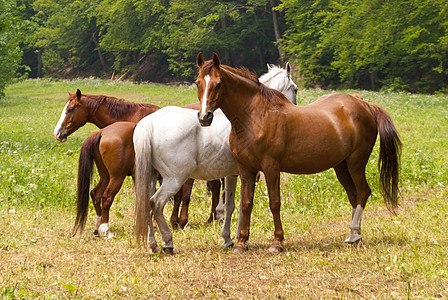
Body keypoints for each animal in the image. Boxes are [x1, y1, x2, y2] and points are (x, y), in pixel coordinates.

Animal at [133, 63, 298, 253]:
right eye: (295, 88)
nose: (292, 110)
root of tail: (149, 124)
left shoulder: (232, 174)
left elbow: (232, 205)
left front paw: (230, 239)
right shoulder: (244, 173)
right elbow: (237, 205)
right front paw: (237, 239)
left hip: (151, 177)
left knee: (146, 205)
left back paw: (153, 245)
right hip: (174, 179)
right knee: (156, 203)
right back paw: (168, 242)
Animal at [196, 52, 402, 252]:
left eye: (218, 84)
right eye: (198, 83)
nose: (204, 116)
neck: (255, 117)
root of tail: (364, 105)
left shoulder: (271, 167)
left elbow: (275, 203)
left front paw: (277, 242)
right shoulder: (245, 169)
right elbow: (246, 204)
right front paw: (240, 243)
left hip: (356, 164)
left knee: (363, 192)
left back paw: (354, 233)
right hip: (341, 167)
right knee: (354, 195)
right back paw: (354, 235)